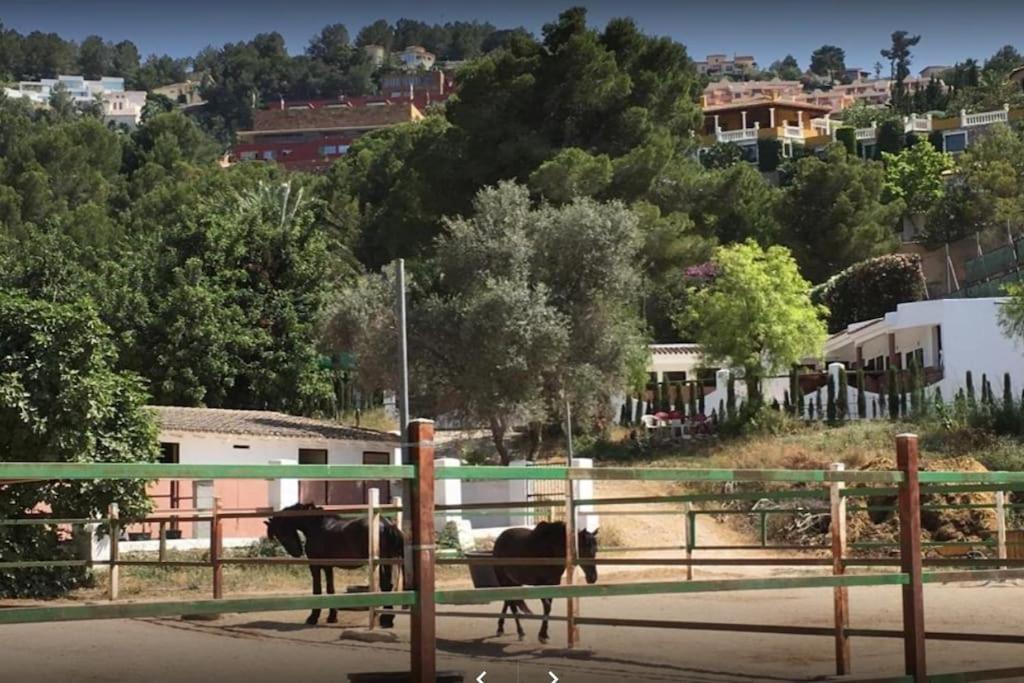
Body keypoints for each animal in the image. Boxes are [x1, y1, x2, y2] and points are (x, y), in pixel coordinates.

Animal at [264, 499, 403, 626]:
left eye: (280, 533)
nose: (296, 553)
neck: (317, 526)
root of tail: (386, 524)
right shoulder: (328, 566)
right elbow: (331, 589)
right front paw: (332, 617)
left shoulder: (315, 565)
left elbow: (317, 590)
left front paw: (313, 618)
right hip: (388, 561)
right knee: (388, 585)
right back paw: (388, 619)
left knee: (385, 585)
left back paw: (386, 619)